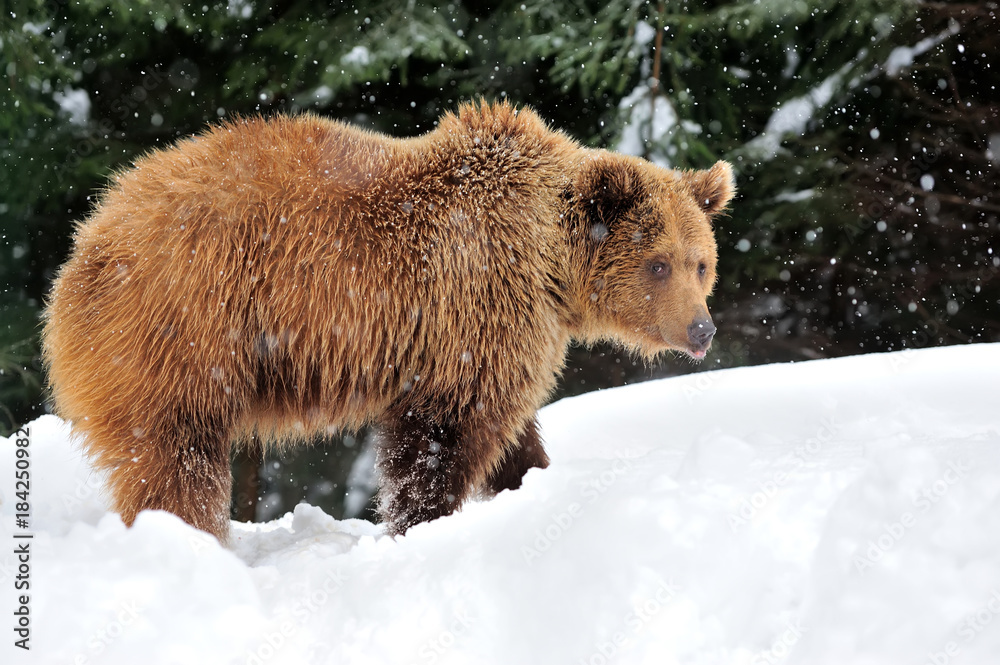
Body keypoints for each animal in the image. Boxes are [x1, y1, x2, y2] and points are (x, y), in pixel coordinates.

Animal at [42, 101, 734, 542]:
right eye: (658, 264)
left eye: (701, 262)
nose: (701, 329)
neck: (550, 264)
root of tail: (87, 241)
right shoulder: (475, 302)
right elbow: (443, 432)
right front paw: (419, 523)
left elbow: (509, 434)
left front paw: (530, 481)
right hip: (183, 328)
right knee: (176, 457)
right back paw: (187, 541)